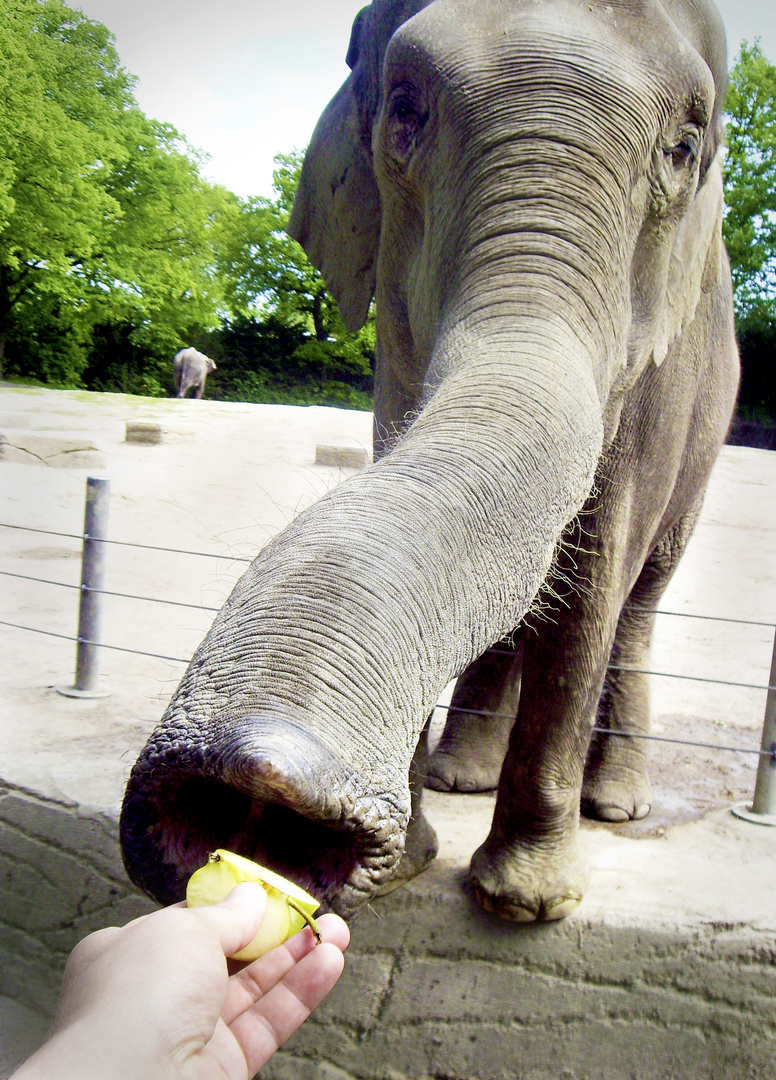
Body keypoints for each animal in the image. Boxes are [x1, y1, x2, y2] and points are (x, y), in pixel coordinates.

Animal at [121, 0, 742, 928]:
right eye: (404, 109)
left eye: (684, 146)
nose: (258, 789)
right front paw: (408, 868)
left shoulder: (665, 380)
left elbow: (593, 577)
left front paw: (525, 905)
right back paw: (461, 778)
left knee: (641, 599)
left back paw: (614, 805)